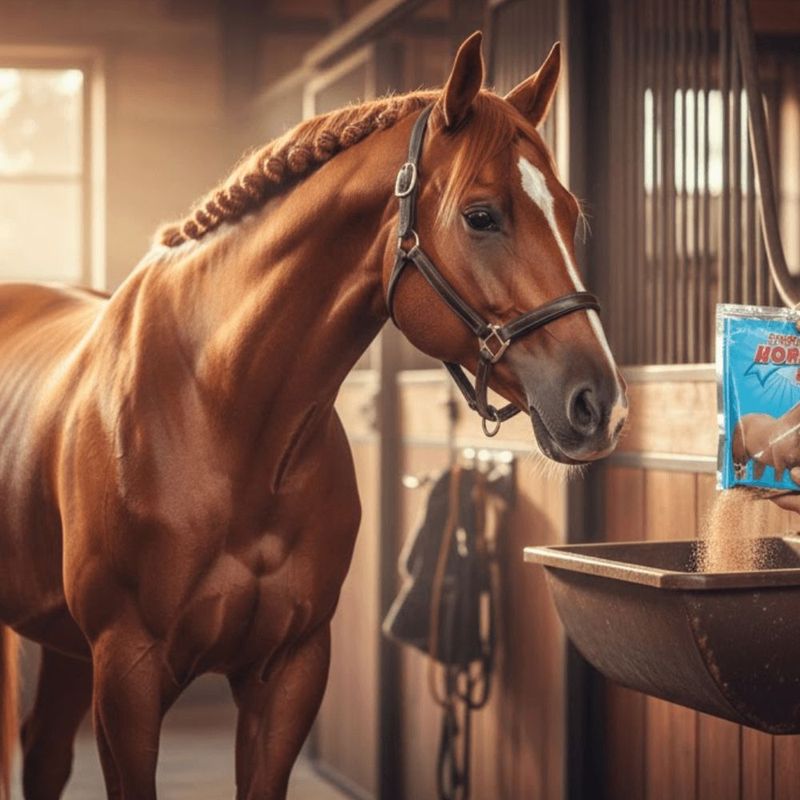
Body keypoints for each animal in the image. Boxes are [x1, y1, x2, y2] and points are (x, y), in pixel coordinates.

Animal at [0, 31, 627, 800]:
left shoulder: (290, 671)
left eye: (568, 214)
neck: (217, 413)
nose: (600, 404)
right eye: (482, 215)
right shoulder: (128, 674)